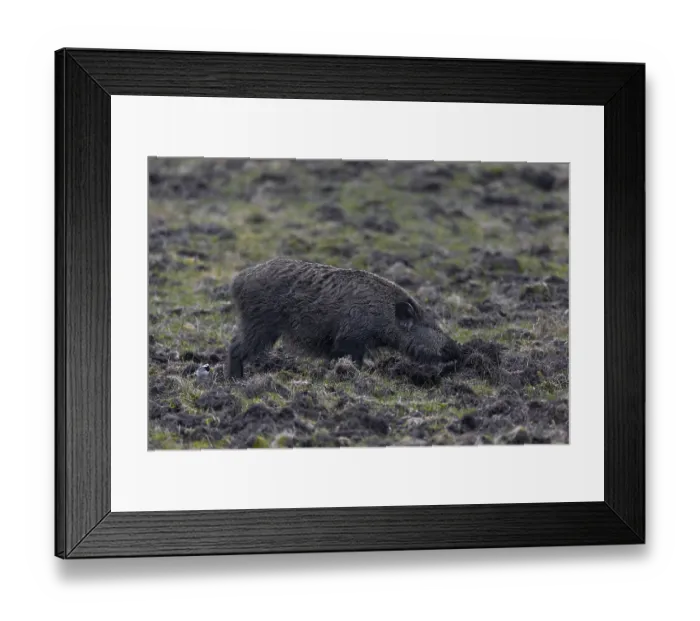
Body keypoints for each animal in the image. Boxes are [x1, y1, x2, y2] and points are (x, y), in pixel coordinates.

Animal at [226, 257, 462, 378]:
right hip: (259, 324)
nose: (458, 350)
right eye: (430, 325)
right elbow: (352, 360)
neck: (383, 315)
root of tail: (238, 281)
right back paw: (236, 380)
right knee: (235, 347)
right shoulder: (351, 339)